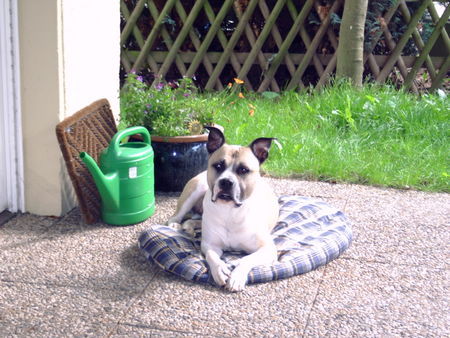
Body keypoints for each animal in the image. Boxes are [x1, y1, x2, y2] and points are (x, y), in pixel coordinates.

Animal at [167, 126, 280, 290]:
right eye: (218, 166)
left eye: (244, 170)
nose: (226, 182)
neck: (230, 211)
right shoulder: (210, 245)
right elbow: (212, 257)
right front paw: (219, 270)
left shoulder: (268, 249)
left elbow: (248, 259)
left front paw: (237, 275)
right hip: (195, 190)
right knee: (176, 216)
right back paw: (176, 225)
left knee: (193, 221)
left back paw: (189, 227)